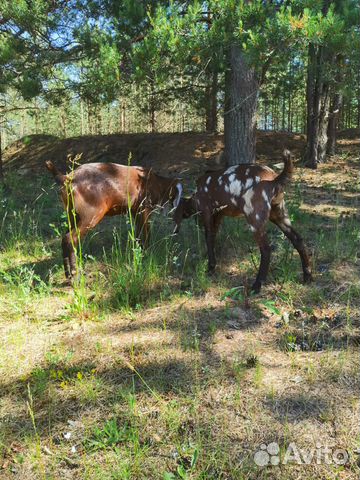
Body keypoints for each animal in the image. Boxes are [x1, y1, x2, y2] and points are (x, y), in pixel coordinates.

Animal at [47, 161, 183, 282]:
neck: (155, 182)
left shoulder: (134, 211)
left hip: (73, 216)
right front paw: (147, 252)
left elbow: (138, 234)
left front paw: (139, 252)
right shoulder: (144, 209)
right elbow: (146, 232)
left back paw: (68, 274)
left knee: (65, 238)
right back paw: (75, 276)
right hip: (90, 216)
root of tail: (67, 178)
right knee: (70, 239)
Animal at [174, 150, 312, 292]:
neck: (196, 195)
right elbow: (213, 237)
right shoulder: (218, 215)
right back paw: (307, 276)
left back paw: (257, 285)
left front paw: (210, 267)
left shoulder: (207, 212)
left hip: (254, 218)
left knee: (266, 249)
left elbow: (208, 238)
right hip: (279, 214)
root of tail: (274, 179)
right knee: (298, 239)